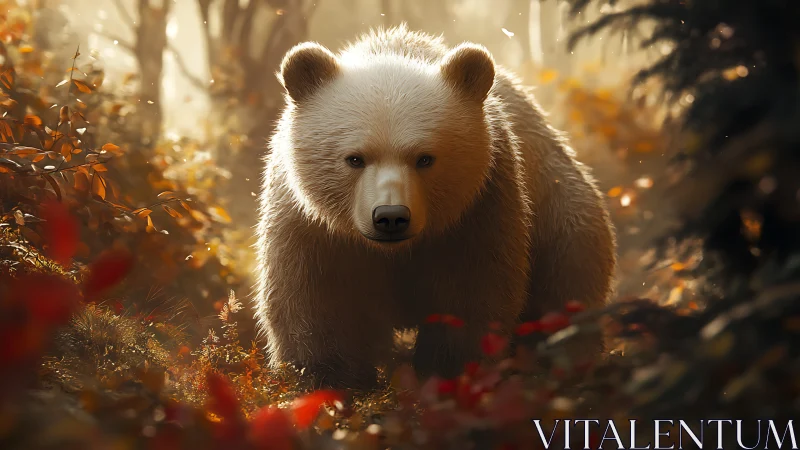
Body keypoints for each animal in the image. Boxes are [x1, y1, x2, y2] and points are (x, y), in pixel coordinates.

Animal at [254, 24, 616, 389]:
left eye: (425, 158)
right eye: (355, 158)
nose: (390, 217)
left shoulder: (479, 210)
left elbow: (471, 299)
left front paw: (448, 373)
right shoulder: (310, 227)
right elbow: (316, 305)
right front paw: (330, 379)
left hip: (559, 208)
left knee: (567, 281)